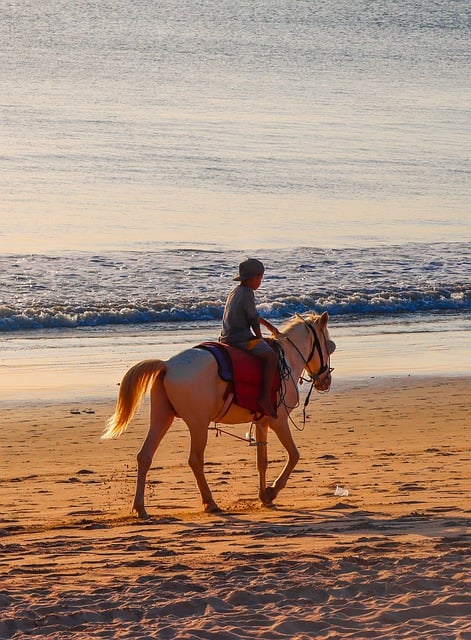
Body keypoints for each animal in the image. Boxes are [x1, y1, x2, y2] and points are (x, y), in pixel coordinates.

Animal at [103, 311, 335, 518]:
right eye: (330, 346)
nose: (325, 381)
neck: (287, 359)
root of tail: (167, 365)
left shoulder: (262, 423)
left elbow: (262, 461)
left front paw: (264, 496)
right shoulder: (279, 421)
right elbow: (294, 455)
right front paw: (272, 491)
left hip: (161, 418)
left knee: (145, 456)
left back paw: (140, 508)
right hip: (197, 424)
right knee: (195, 460)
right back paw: (210, 502)